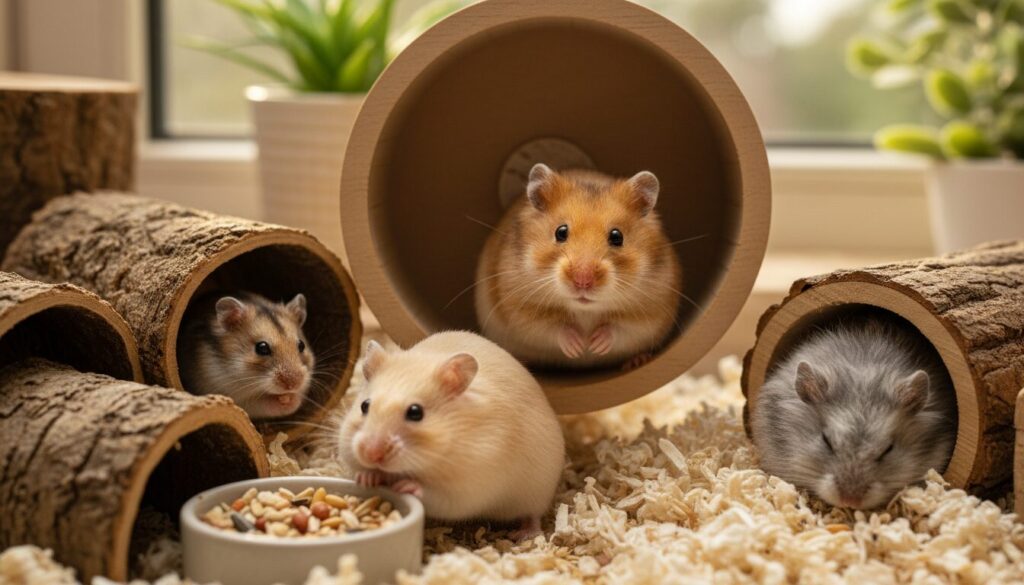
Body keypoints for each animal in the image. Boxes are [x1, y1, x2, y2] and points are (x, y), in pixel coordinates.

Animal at [178, 292, 315, 420]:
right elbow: (264, 405)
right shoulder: (235, 397)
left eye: (301, 345)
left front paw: (292, 398)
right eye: (262, 348)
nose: (294, 385)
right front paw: (285, 401)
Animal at [337, 331, 565, 538]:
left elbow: (432, 494)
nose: (371, 454)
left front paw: (406, 484)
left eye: (415, 412)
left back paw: (525, 535)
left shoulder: (464, 488)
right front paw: (367, 478)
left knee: (533, 515)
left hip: (538, 492)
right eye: (364, 406)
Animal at [474, 164, 683, 370]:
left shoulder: (650, 313)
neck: (585, 309)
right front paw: (578, 347)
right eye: (561, 232)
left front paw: (594, 344)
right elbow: (553, 328)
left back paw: (637, 360)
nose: (583, 280)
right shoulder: (520, 309)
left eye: (617, 236)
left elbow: (619, 328)